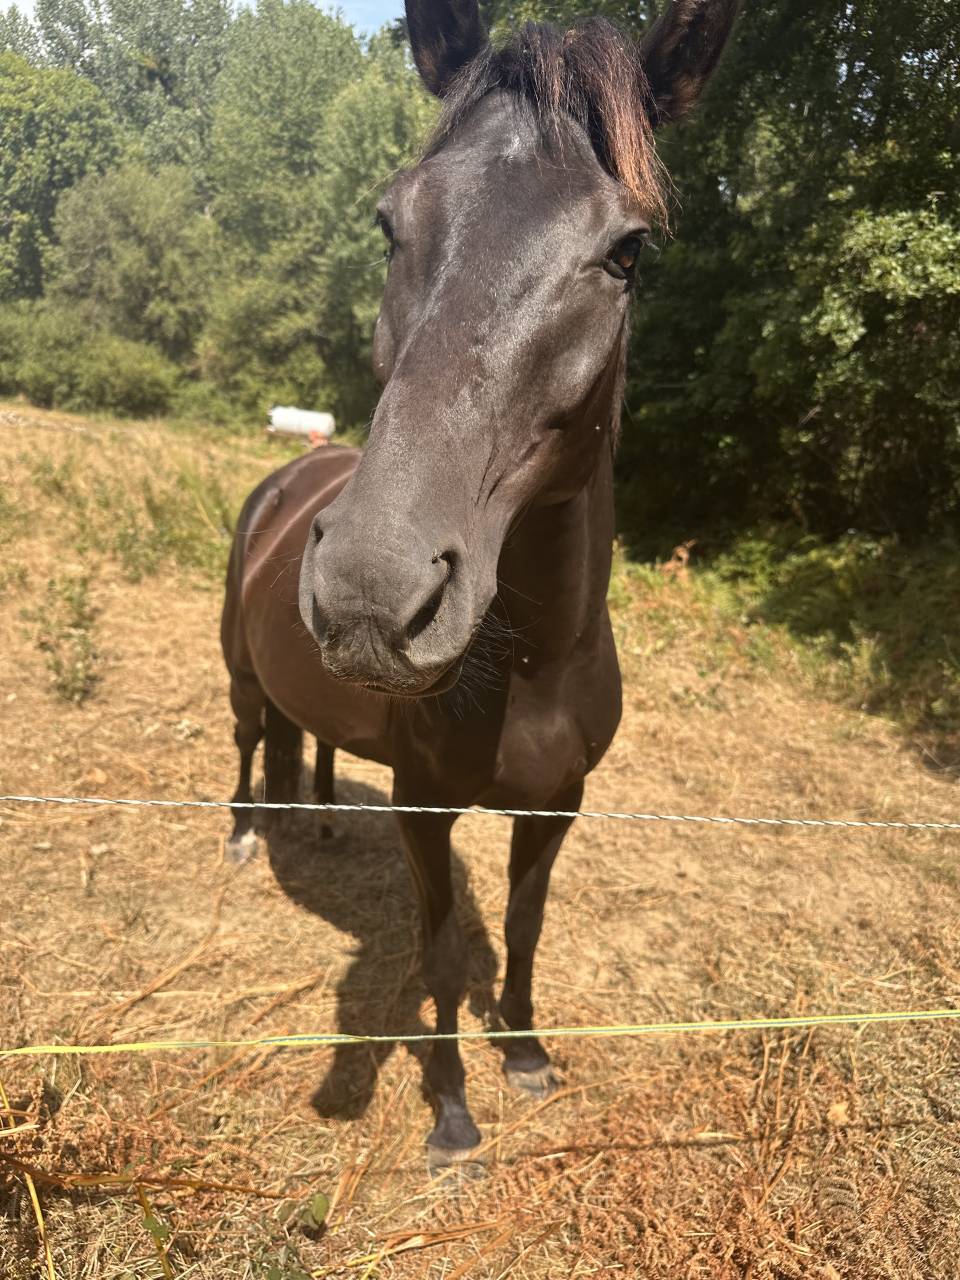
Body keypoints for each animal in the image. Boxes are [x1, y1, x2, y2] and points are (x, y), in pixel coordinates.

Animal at [221, 0, 738, 1167]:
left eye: (628, 248)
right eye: (388, 222)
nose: (371, 591)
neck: (532, 663)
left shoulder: (558, 805)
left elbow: (527, 926)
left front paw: (529, 1053)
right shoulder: (428, 810)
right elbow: (445, 951)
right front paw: (454, 1113)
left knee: (303, 736)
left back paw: (317, 817)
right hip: (237, 673)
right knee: (246, 732)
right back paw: (242, 830)